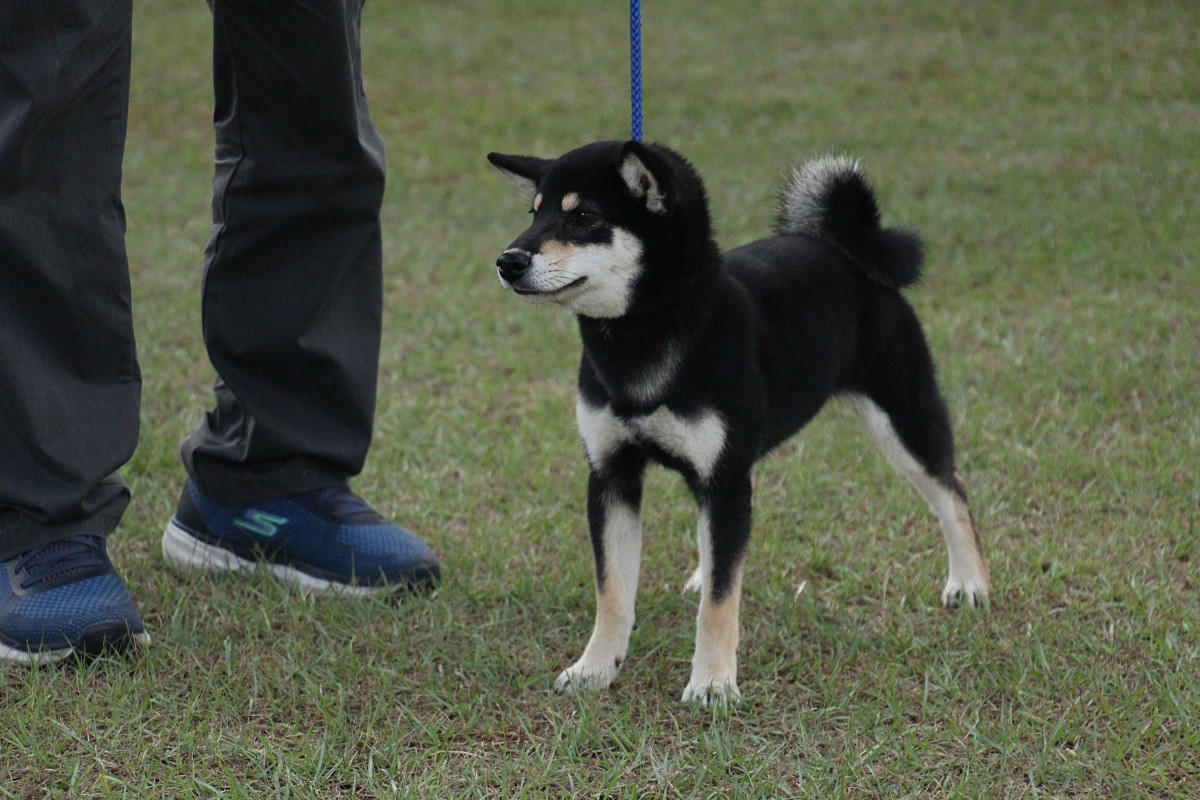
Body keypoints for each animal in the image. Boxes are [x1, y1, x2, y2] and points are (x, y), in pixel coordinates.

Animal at [482, 140, 988, 705]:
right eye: (535, 213)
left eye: (584, 216)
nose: (507, 261)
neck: (645, 336)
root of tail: (843, 249)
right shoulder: (612, 474)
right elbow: (613, 592)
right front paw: (594, 669)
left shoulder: (721, 477)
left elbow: (722, 601)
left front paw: (713, 683)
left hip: (901, 419)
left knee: (951, 490)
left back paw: (969, 583)